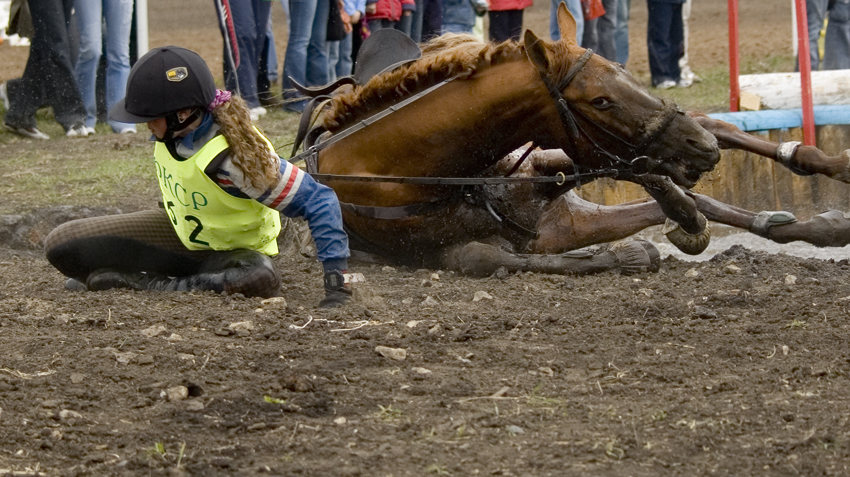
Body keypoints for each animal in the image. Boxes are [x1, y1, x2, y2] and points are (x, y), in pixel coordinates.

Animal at [298, 4, 848, 276]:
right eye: (599, 101)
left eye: (622, 70)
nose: (696, 150)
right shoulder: (549, 227)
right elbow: (483, 257)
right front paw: (636, 250)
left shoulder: (553, 172)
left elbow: (669, 182)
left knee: (721, 131)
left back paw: (822, 174)